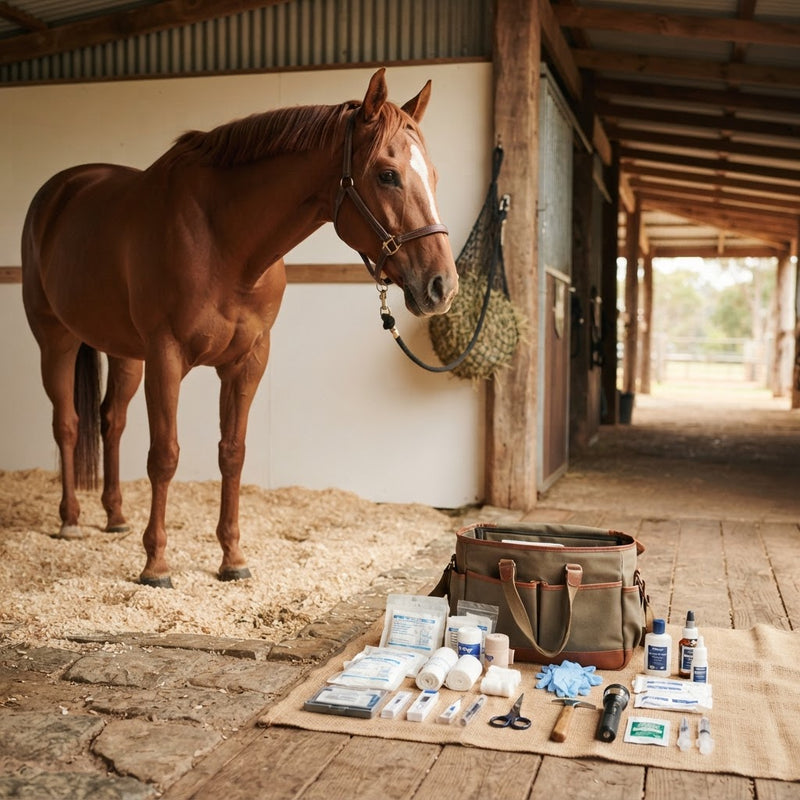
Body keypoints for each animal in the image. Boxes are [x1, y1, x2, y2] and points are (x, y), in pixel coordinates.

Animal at [21, 68, 458, 588]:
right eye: (387, 175)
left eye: (434, 176)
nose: (442, 285)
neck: (222, 240)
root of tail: (60, 191)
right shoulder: (166, 356)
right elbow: (164, 456)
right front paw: (156, 565)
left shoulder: (247, 360)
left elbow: (233, 453)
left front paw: (232, 558)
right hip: (56, 340)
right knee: (67, 424)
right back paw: (70, 520)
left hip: (124, 353)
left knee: (112, 421)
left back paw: (115, 517)